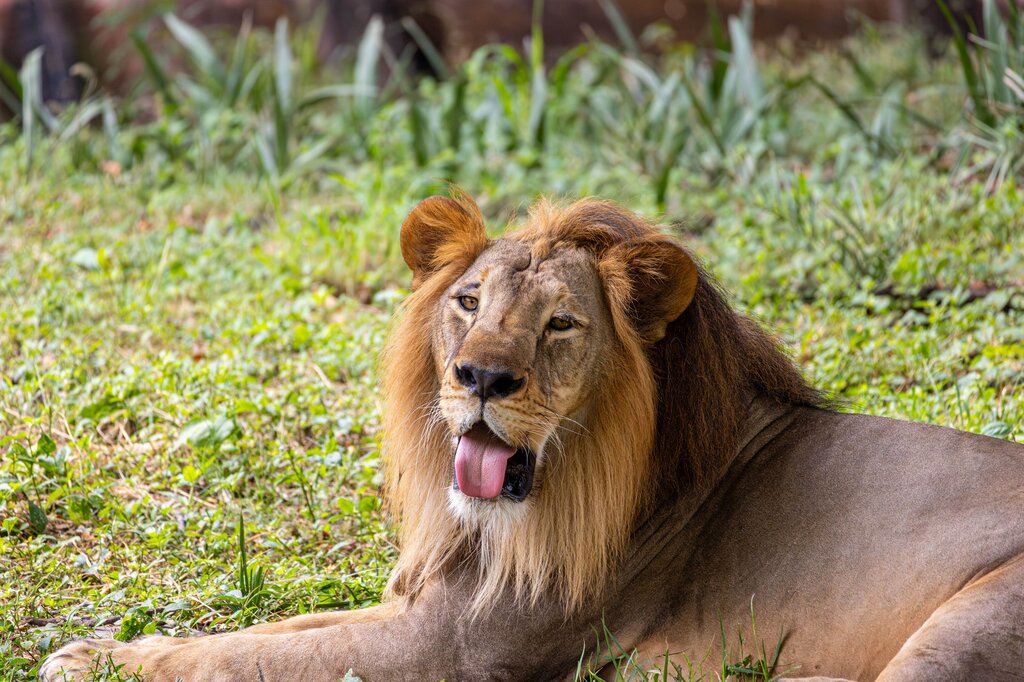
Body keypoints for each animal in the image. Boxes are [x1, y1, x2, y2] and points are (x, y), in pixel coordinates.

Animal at [42, 194, 1024, 682]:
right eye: (468, 302)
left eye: (560, 325)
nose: (479, 378)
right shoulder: (423, 609)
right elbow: (274, 630)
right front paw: (101, 650)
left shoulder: (456, 649)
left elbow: (252, 658)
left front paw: (89, 663)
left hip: (963, 628)